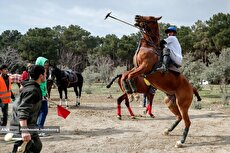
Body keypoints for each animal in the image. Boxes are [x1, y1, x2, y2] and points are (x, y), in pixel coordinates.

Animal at [122, 15, 201, 147]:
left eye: (151, 18)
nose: (137, 17)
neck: (148, 45)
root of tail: (191, 87)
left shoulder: (144, 67)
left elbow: (129, 76)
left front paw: (134, 93)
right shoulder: (136, 67)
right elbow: (125, 75)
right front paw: (129, 90)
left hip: (182, 104)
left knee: (187, 121)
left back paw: (181, 141)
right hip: (169, 102)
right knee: (179, 117)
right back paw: (168, 130)